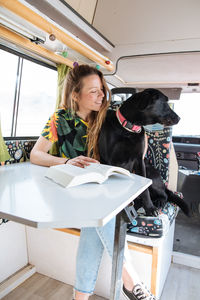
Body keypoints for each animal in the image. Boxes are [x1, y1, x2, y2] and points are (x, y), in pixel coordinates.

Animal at [99, 88, 191, 217]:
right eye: (165, 103)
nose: (179, 118)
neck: (129, 129)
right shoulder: (109, 161)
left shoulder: (139, 160)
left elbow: (145, 189)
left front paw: (150, 208)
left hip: (150, 171)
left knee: (165, 195)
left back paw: (158, 201)